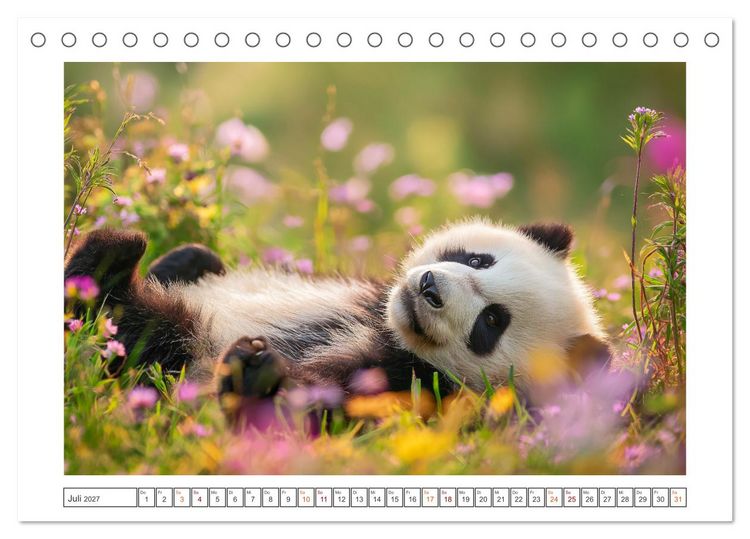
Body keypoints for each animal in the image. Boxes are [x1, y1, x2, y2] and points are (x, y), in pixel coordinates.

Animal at [64, 219, 610, 412]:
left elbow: (314, 409)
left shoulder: (404, 383)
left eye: (491, 323)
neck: (384, 325)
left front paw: (254, 374)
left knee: (146, 330)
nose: (429, 289)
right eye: (477, 260)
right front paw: (182, 259)